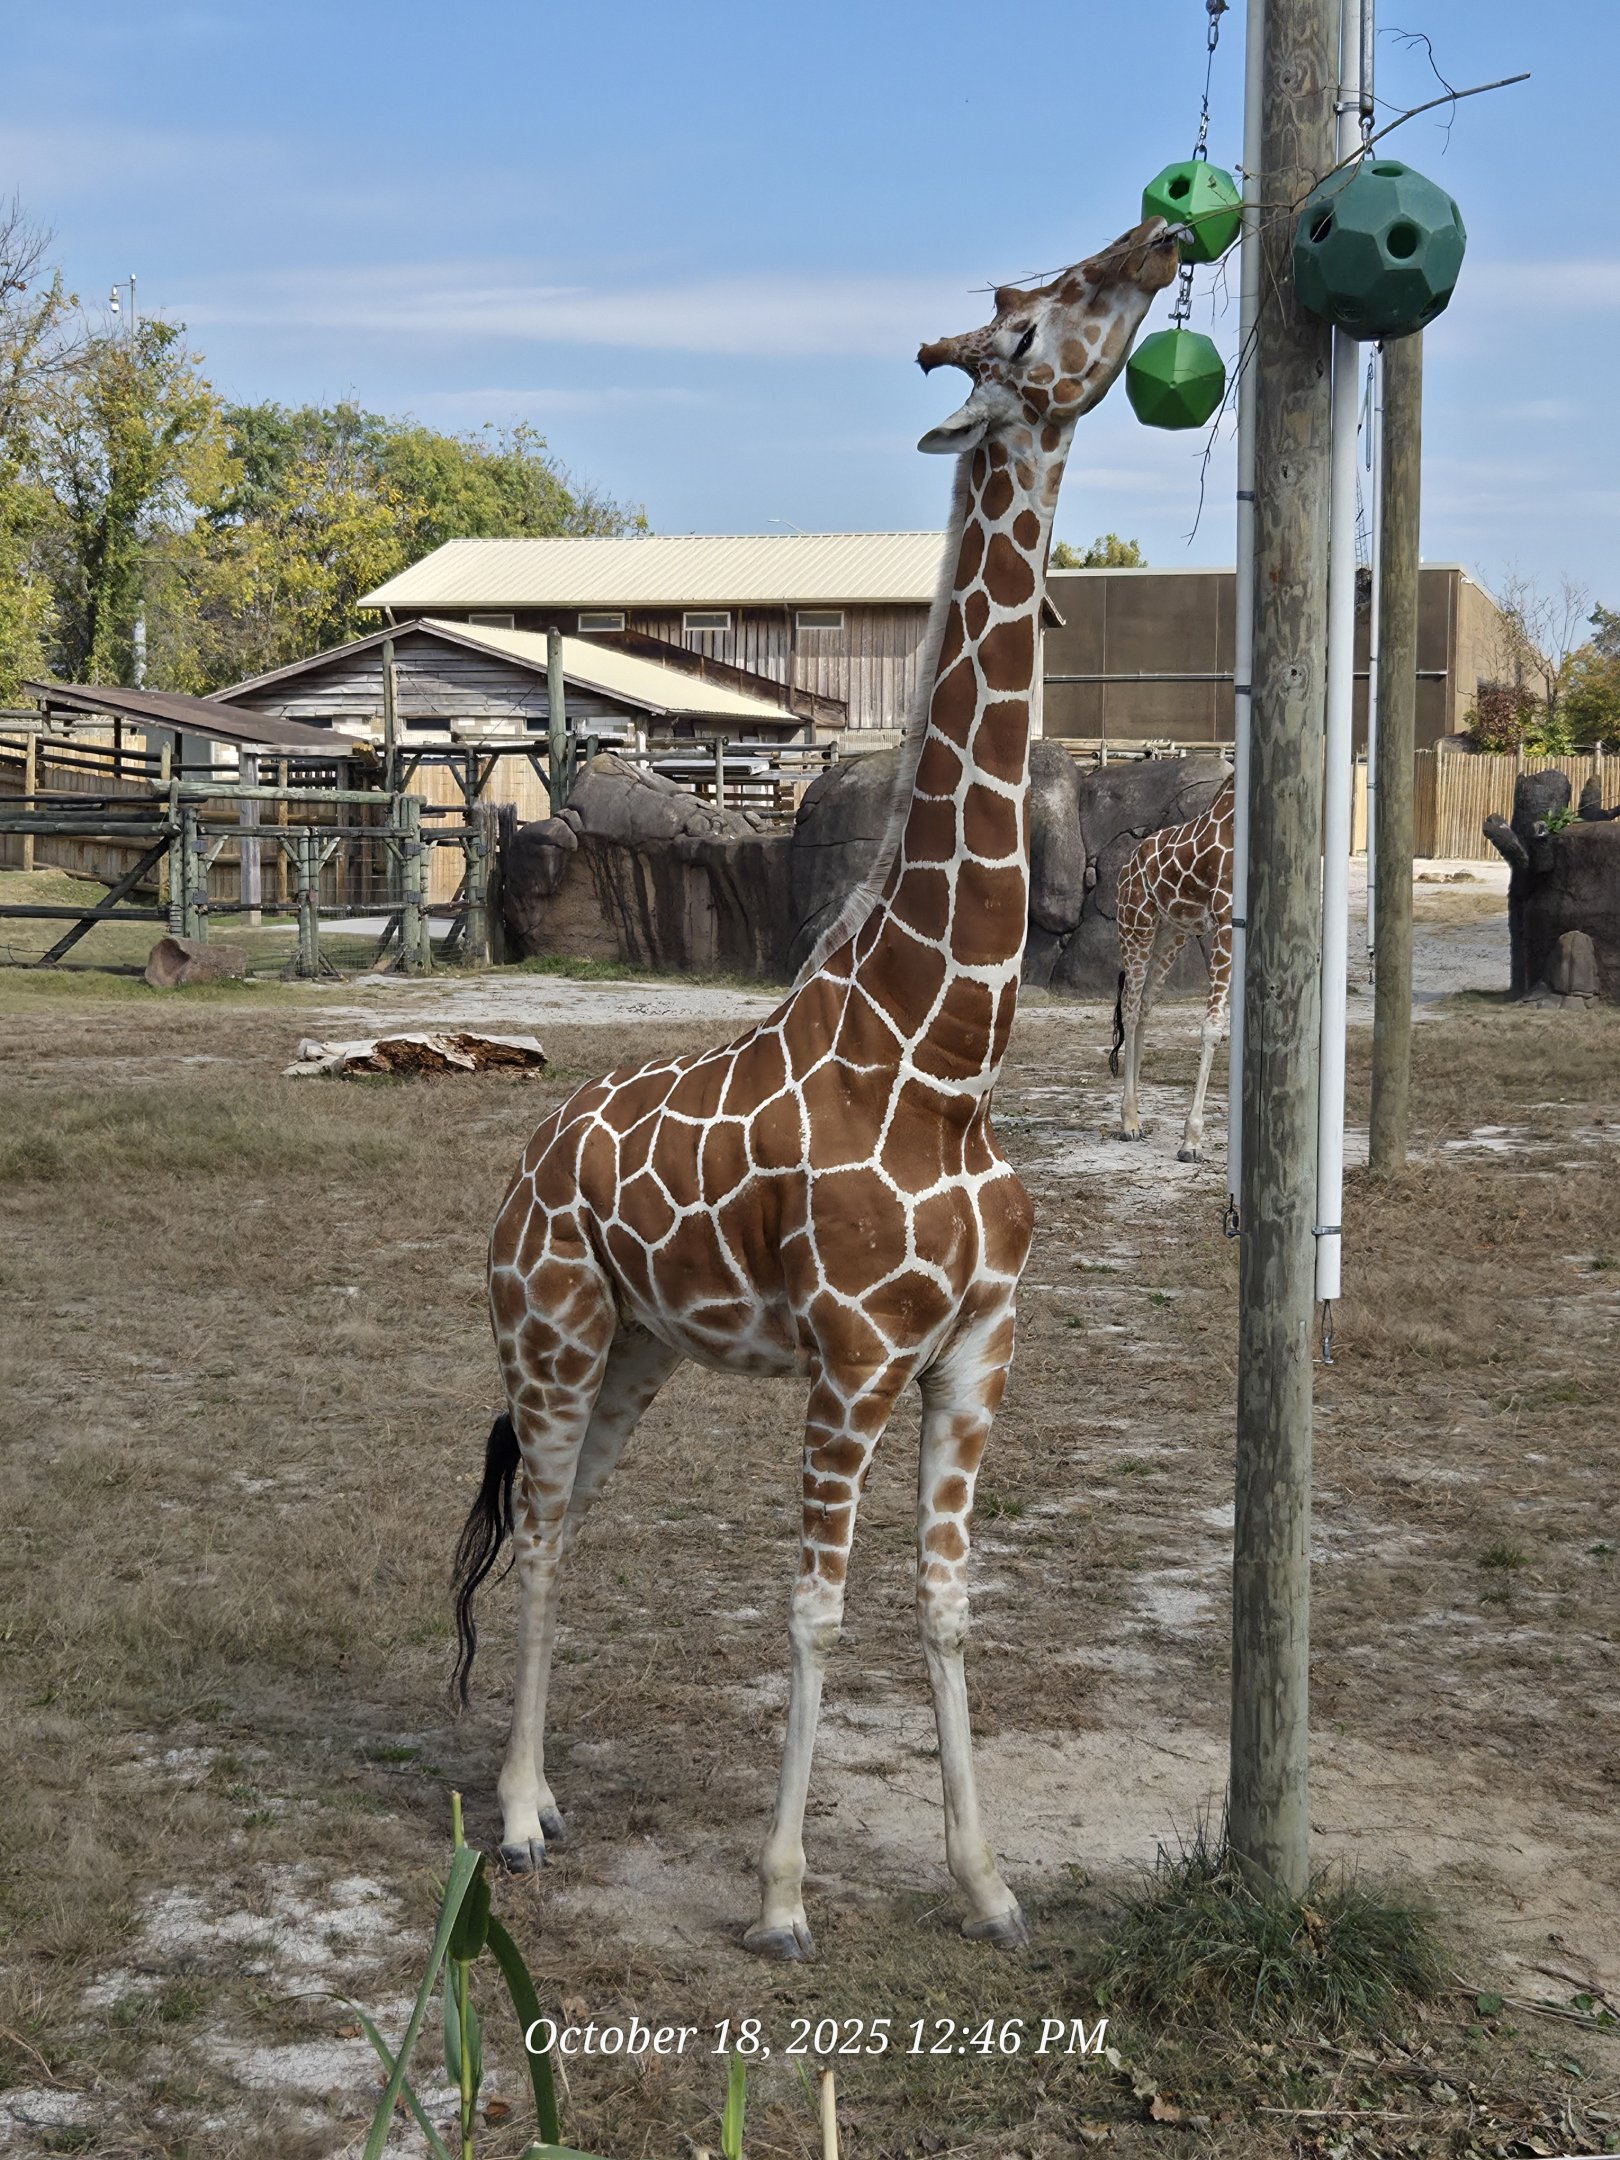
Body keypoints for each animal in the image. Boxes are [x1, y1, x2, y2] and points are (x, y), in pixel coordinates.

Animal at [452, 218, 1181, 1960]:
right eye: (1038, 316)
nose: (1165, 236)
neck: (946, 1047)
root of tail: (528, 1159)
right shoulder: (850, 1359)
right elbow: (814, 1608)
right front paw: (783, 1895)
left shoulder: (976, 1350)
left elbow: (946, 1607)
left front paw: (987, 1884)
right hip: (550, 1335)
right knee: (545, 1540)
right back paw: (519, 1819)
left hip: (639, 1352)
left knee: (572, 1523)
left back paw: (545, 1797)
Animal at [1109, 773, 1235, 1163]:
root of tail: (1127, 866)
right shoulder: (1227, 921)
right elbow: (1212, 1028)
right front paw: (1191, 1140)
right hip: (1135, 923)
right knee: (1130, 1005)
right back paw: (1128, 1122)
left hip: (1172, 932)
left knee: (1146, 1004)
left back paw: (1136, 1114)